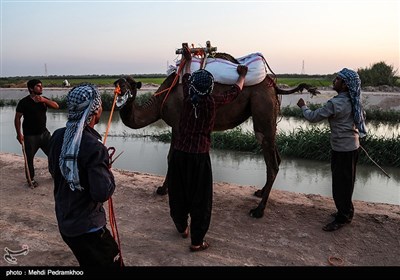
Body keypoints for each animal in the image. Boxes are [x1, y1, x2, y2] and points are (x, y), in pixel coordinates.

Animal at [113, 53, 318, 218]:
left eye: (130, 85)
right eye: (118, 83)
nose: (119, 94)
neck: (161, 100)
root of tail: (273, 84)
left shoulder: (178, 124)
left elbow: (171, 156)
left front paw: (164, 190)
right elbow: (172, 155)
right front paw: (167, 189)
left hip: (263, 107)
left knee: (272, 160)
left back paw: (258, 211)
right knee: (276, 155)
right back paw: (260, 192)